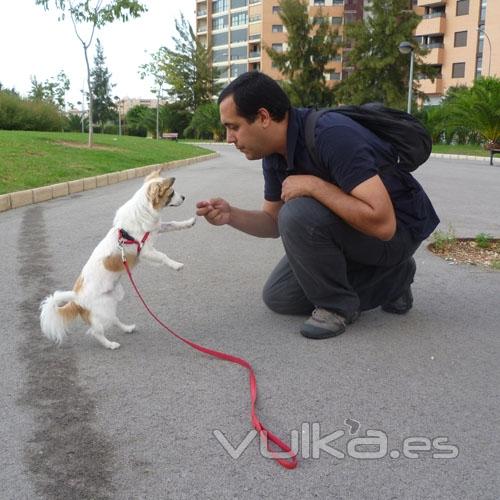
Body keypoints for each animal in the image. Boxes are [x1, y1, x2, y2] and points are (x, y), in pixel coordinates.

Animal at [40, 170, 196, 350]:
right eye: (171, 193)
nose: (184, 197)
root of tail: (76, 299)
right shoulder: (145, 251)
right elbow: (163, 256)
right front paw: (176, 265)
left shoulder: (156, 230)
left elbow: (173, 224)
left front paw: (189, 222)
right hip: (102, 309)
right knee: (96, 332)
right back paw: (110, 344)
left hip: (109, 302)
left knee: (113, 319)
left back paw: (127, 328)